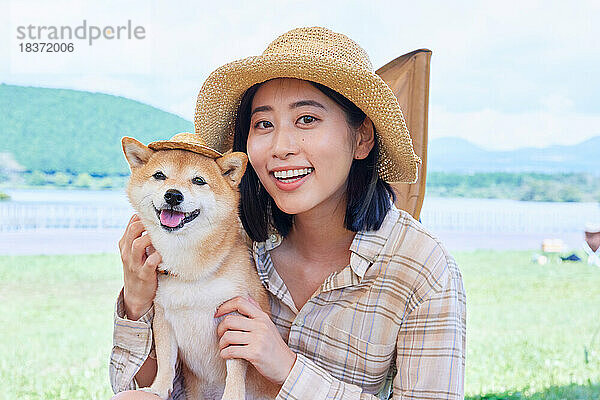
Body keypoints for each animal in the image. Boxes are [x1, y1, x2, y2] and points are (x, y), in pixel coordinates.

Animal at [122, 134, 276, 400]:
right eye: (159, 175)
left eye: (199, 181)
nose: (173, 195)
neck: (189, 269)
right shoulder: (163, 317)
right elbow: (165, 359)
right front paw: (158, 388)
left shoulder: (234, 318)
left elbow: (236, 366)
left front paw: (232, 395)